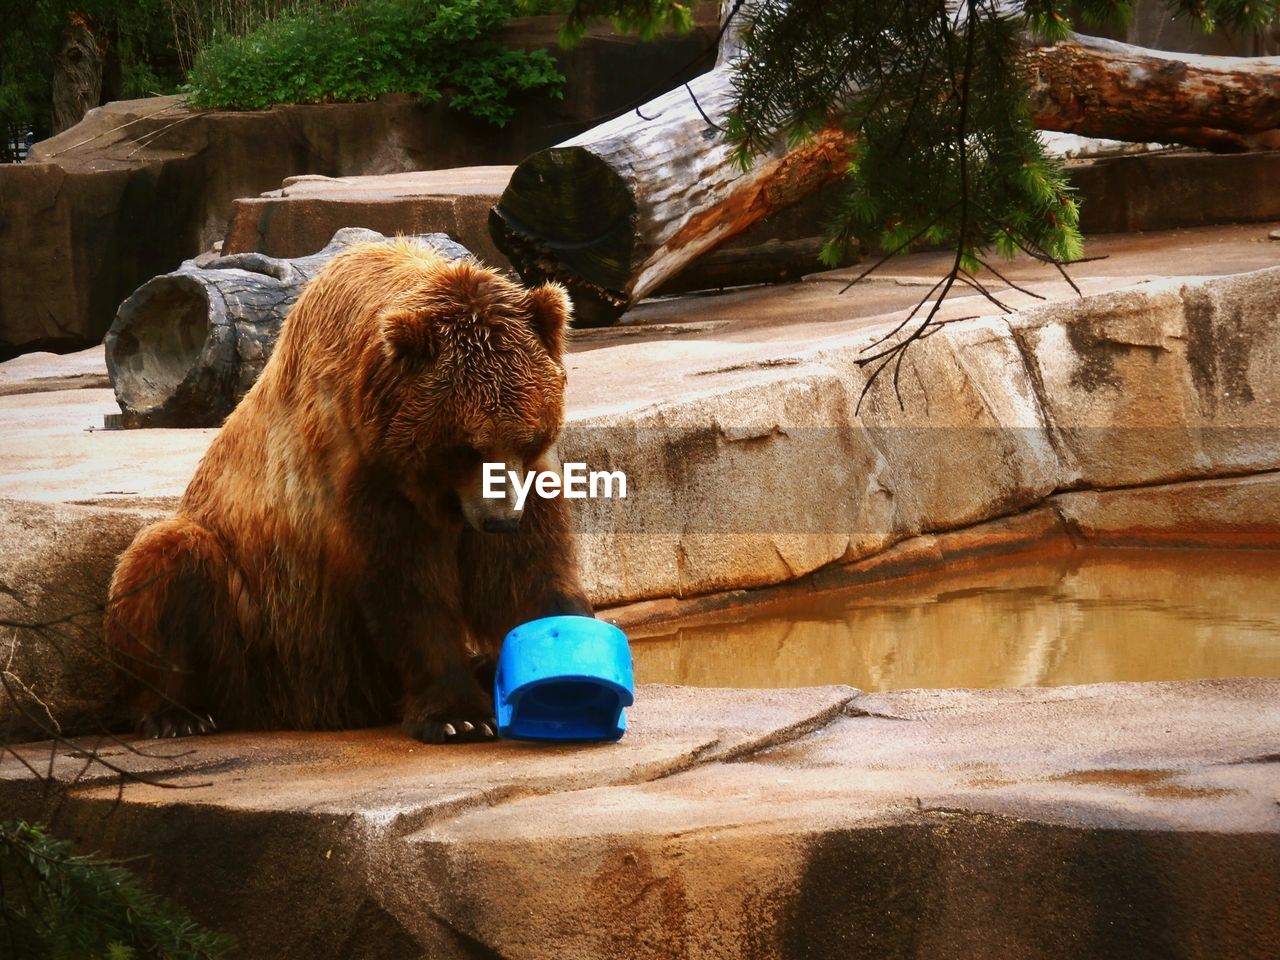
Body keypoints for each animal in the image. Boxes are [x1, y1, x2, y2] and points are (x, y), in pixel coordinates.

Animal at [104, 239, 593, 742]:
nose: (500, 520)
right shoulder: (365, 470)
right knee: (170, 558)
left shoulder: (523, 481)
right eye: (464, 446)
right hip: (258, 633)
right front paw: (459, 716)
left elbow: (526, 570)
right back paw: (175, 714)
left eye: (527, 435)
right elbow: (405, 586)